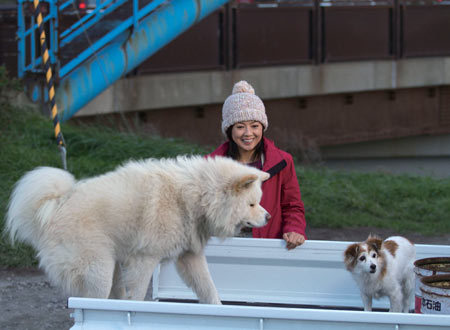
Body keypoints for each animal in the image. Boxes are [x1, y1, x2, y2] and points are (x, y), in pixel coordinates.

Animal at [5, 157, 268, 304]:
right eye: (251, 204)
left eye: (258, 202)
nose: (268, 216)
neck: (196, 196)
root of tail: (53, 207)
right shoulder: (144, 259)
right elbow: (139, 295)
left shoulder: (190, 257)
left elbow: (209, 290)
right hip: (98, 270)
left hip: (110, 268)